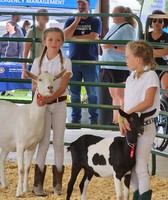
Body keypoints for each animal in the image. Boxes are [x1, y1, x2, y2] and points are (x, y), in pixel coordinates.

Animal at [0, 69, 66, 197]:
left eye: (54, 79)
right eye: (39, 79)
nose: (50, 88)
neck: (31, 116)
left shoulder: (33, 146)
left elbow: (27, 168)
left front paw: (26, 189)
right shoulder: (20, 144)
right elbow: (20, 169)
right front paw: (19, 193)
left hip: (6, 142)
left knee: (1, 160)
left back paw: (4, 184)